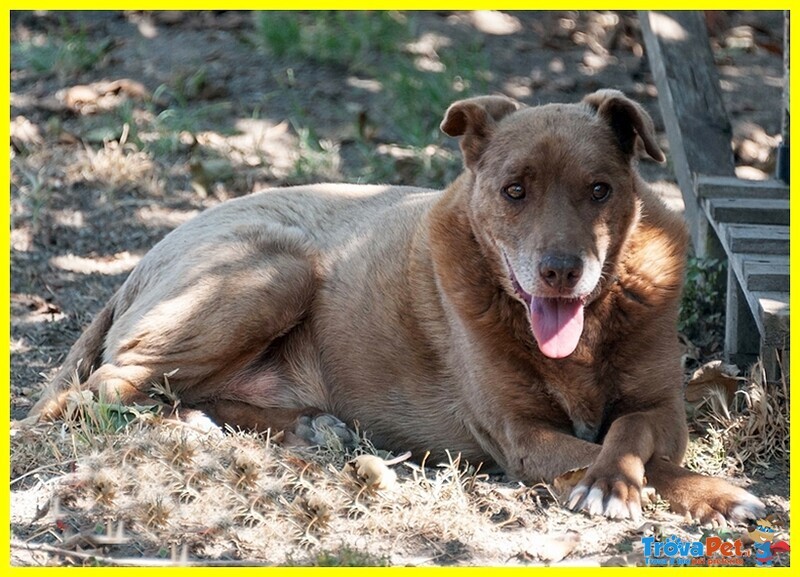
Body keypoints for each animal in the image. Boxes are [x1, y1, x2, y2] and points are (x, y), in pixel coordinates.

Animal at [28, 89, 764, 520]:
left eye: (601, 189)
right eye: (515, 190)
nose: (561, 272)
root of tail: (144, 258)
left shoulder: (663, 407)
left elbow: (632, 433)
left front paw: (622, 479)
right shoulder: (520, 436)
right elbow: (647, 462)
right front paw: (700, 492)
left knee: (162, 392)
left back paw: (296, 428)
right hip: (269, 272)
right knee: (100, 392)